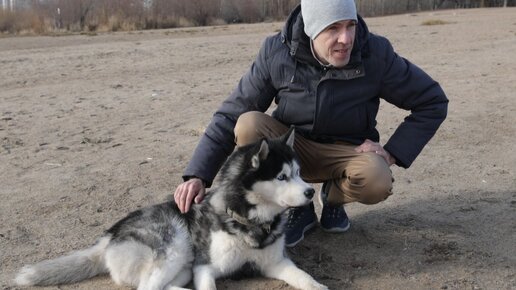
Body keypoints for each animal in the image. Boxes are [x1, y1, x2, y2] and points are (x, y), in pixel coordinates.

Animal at [18, 129, 328, 290]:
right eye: (282, 177)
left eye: (299, 173)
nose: (310, 192)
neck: (251, 223)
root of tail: (109, 235)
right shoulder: (205, 267)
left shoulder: (276, 262)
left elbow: (306, 278)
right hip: (175, 246)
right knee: (146, 288)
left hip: (181, 265)